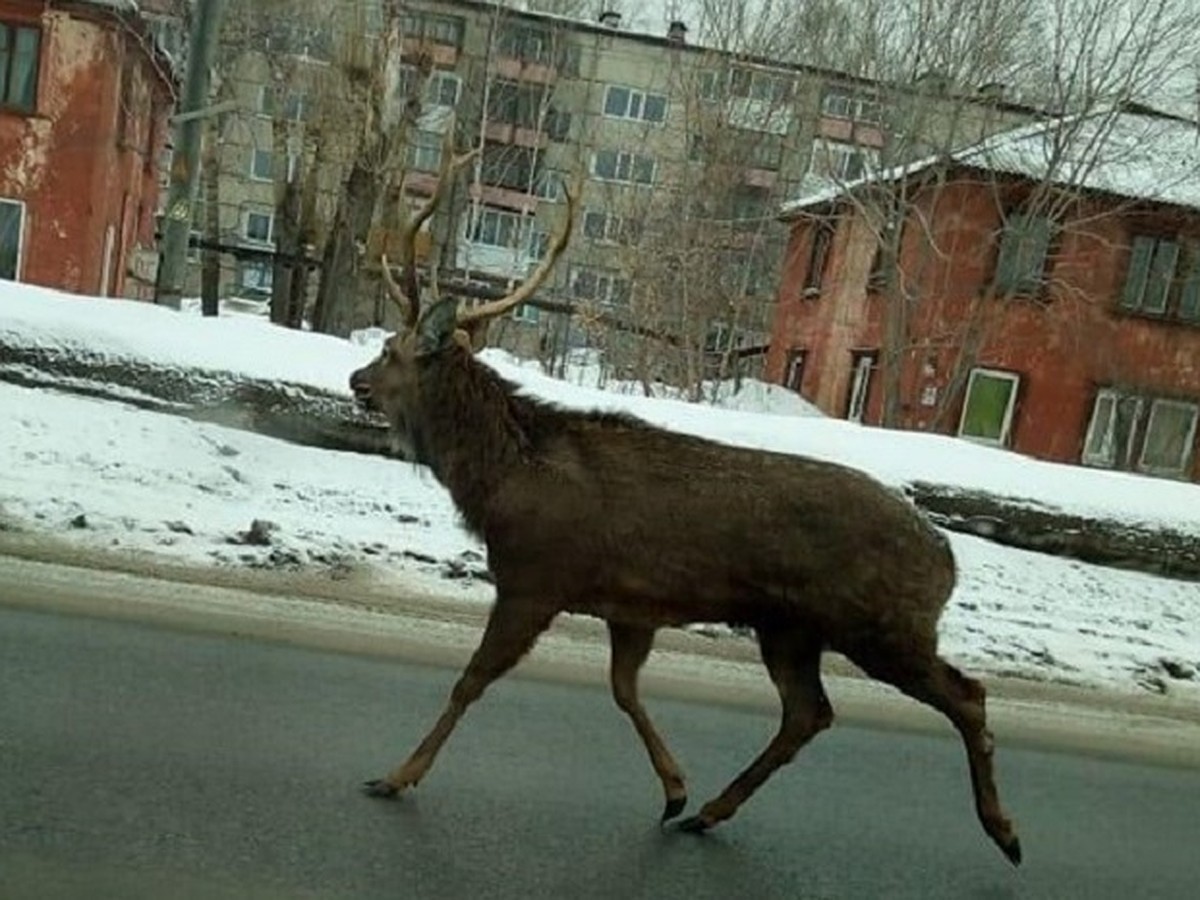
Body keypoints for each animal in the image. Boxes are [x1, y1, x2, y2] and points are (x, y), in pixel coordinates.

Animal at [348, 158, 1022, 868]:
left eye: (391, 351)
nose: (354, 380)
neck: (502, 481)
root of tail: (946, 560)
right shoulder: (628, 606)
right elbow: (624, 691)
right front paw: (674, 789)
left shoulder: (536, 579)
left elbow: (470, 681)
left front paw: (397, 775)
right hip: (790, 627)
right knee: (809, 713)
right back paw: (710, 811)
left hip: (882, 625)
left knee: (967, 696)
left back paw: (1004, 831)